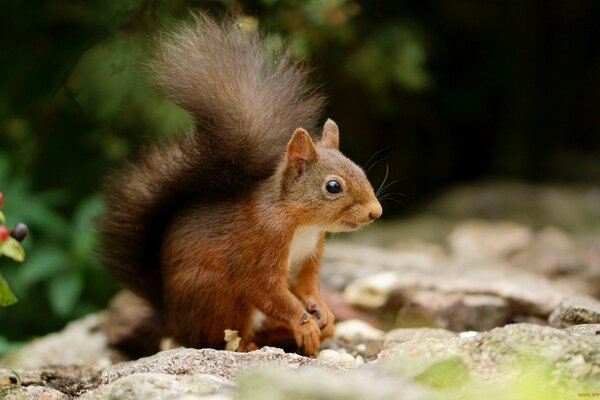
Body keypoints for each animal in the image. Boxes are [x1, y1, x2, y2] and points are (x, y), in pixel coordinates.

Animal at [97, 12, 380, 356]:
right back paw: (249, 344)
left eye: (360, 169)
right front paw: (303, 322)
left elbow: (307, 286)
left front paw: (321, 310)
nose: (375, 212)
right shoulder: (259, 248)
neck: (300, 224)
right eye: (333, 187)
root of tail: (173, 322)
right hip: (218, 297)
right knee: (217, 338)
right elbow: (266, 289)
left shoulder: (310, 255)